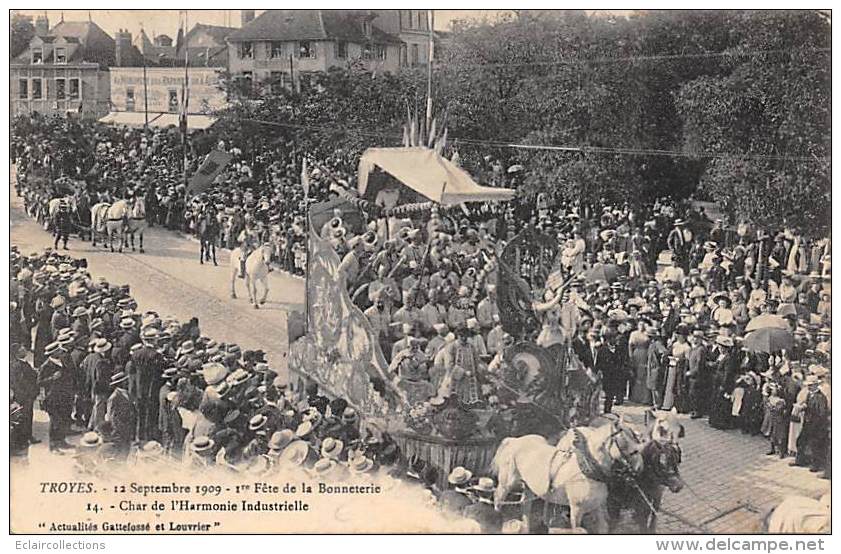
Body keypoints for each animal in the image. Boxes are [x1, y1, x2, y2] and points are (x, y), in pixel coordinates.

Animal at [492, 414, 644, 532]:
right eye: (623, 439)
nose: (640, 467)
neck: (586, 472)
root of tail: (514, 440)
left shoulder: (598, 508)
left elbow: (603, 528)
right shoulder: (576, 510)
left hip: (530, 488)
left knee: (525, 506)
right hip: (507, 484)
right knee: (498, 499)